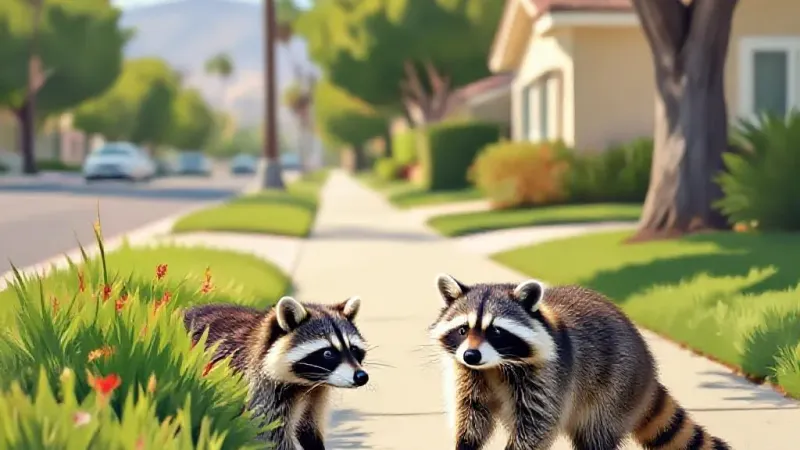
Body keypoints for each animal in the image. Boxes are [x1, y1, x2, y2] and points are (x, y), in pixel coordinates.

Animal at [183, 295, 369, 450]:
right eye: (328, 353)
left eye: (353, 349)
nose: (361, 377)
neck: (306, 382)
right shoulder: (260, 388)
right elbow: (268, 434)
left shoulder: (316, 393)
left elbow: (307, 427)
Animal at [429, 274, 731, 450]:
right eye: (463, 330)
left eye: (496, 331)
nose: (471, 355)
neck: (495, 366)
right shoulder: (468, 375)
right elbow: (472, 417)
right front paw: (465, 444)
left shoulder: (550, 377)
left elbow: (537, 425)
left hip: (615, 390)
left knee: (595, 436)